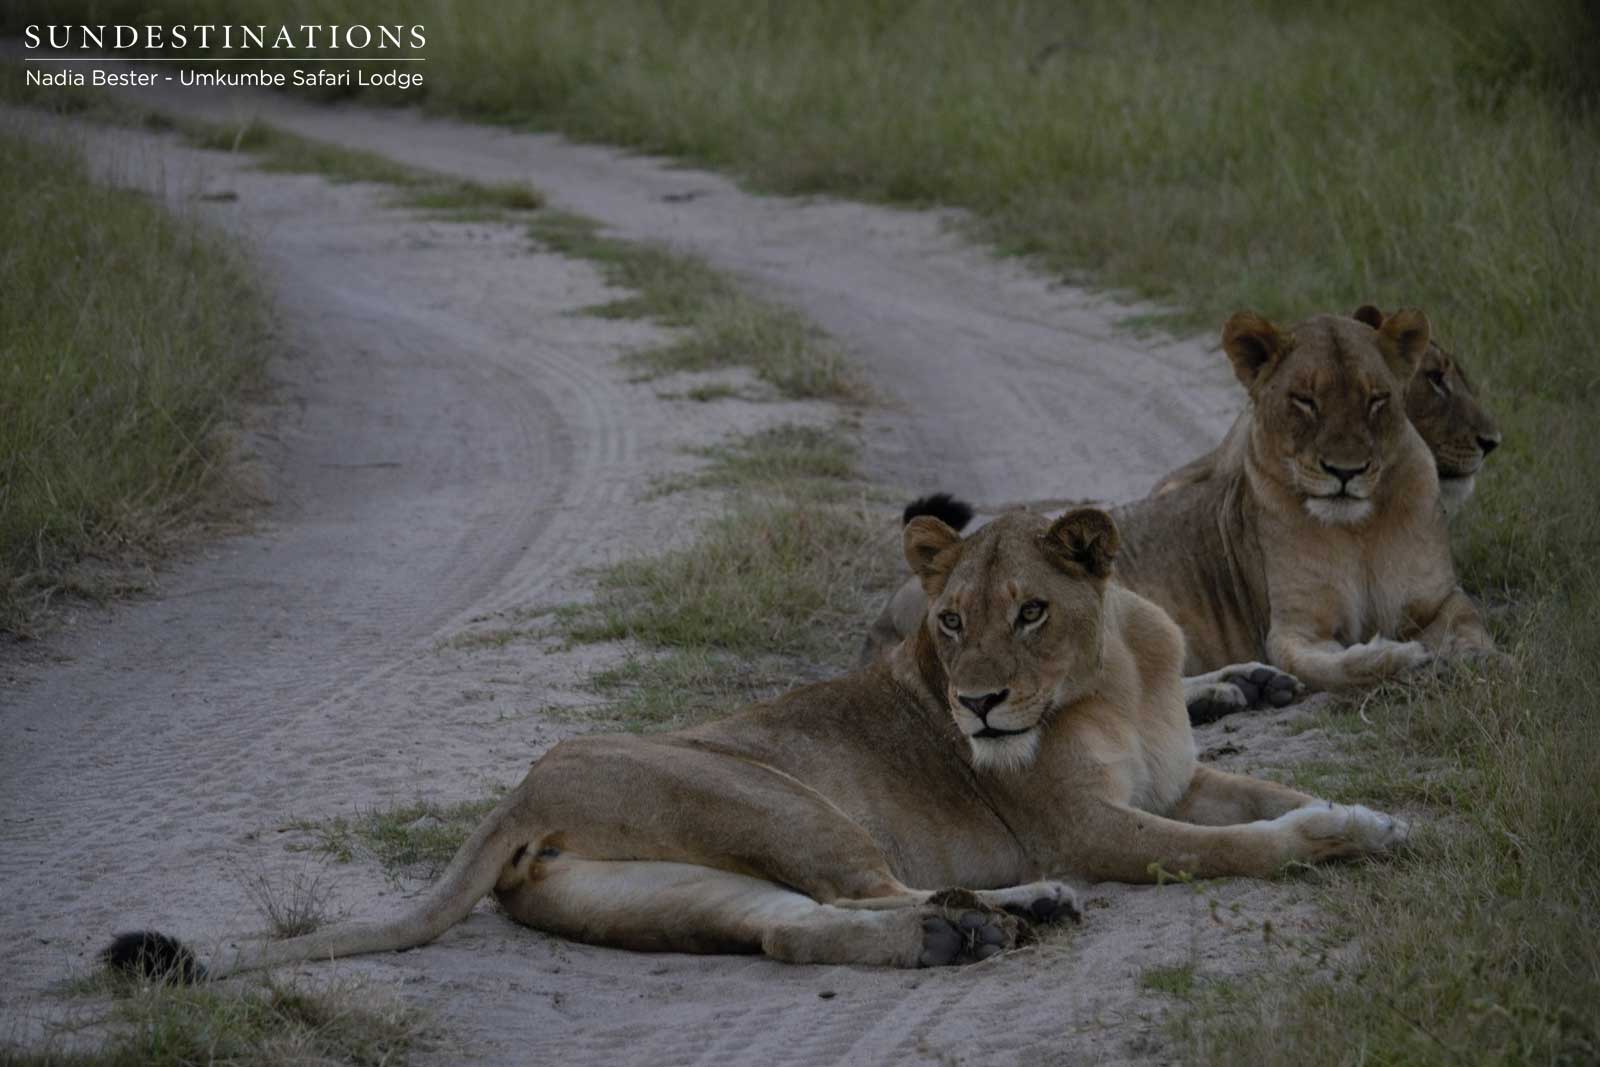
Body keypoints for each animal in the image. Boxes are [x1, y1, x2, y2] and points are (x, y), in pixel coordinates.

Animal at [104, 509, 1405, 982]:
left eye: (1029, 608)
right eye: (947, 621)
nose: (978, 706)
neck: (1114, 669)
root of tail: (521, 787)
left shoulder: (1180, 777)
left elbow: (1269, 787)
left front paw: (1372, 815)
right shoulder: (1088, 823)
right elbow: (1235, 848)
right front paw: (1327, 839)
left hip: (674, 881)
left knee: (787, 925)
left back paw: (961, 930)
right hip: (783, 799)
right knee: (861, 887)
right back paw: (1011, 909)